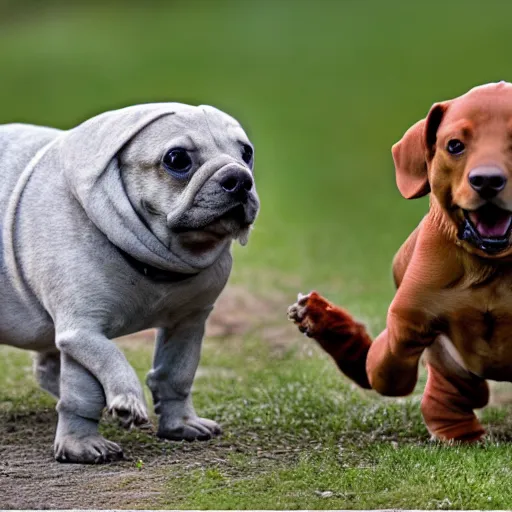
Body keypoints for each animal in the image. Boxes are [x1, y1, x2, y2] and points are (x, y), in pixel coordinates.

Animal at [0, 102, 258, 462]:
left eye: (246, 153)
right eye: (177, 159)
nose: (239, 178)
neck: (157, 259)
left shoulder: (189, 323)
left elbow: (175, 376)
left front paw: (180, 425)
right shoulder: (83, 331)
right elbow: (96, 377)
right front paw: (87, 440)